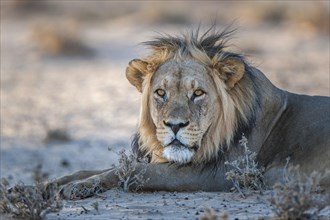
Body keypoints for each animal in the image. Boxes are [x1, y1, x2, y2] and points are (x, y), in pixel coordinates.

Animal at [52, 26, 328, 199]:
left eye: (197, 93)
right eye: (161, 93)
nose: (175, 125)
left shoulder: (218, 174)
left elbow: (134, 170)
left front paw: (78, 187)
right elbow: (102, 168)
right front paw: (56, 182)